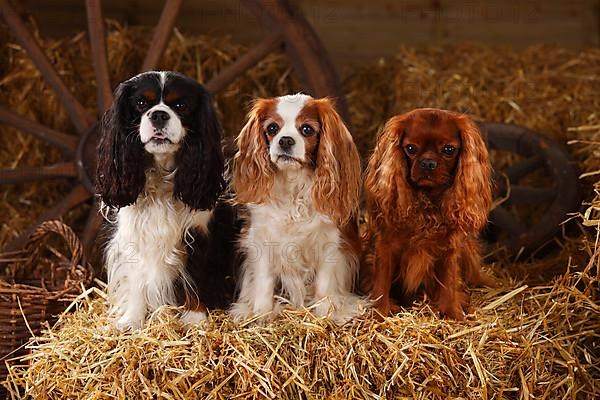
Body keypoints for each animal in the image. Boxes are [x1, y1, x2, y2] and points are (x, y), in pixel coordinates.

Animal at [96, 71, 237, 328]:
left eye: (180, 106)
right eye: (141, 103)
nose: (159, 114)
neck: (161, 175)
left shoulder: (198, 232)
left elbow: (196, 274)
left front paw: (195, 316)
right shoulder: (133, 236)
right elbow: (137, 277)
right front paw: (132, 319)